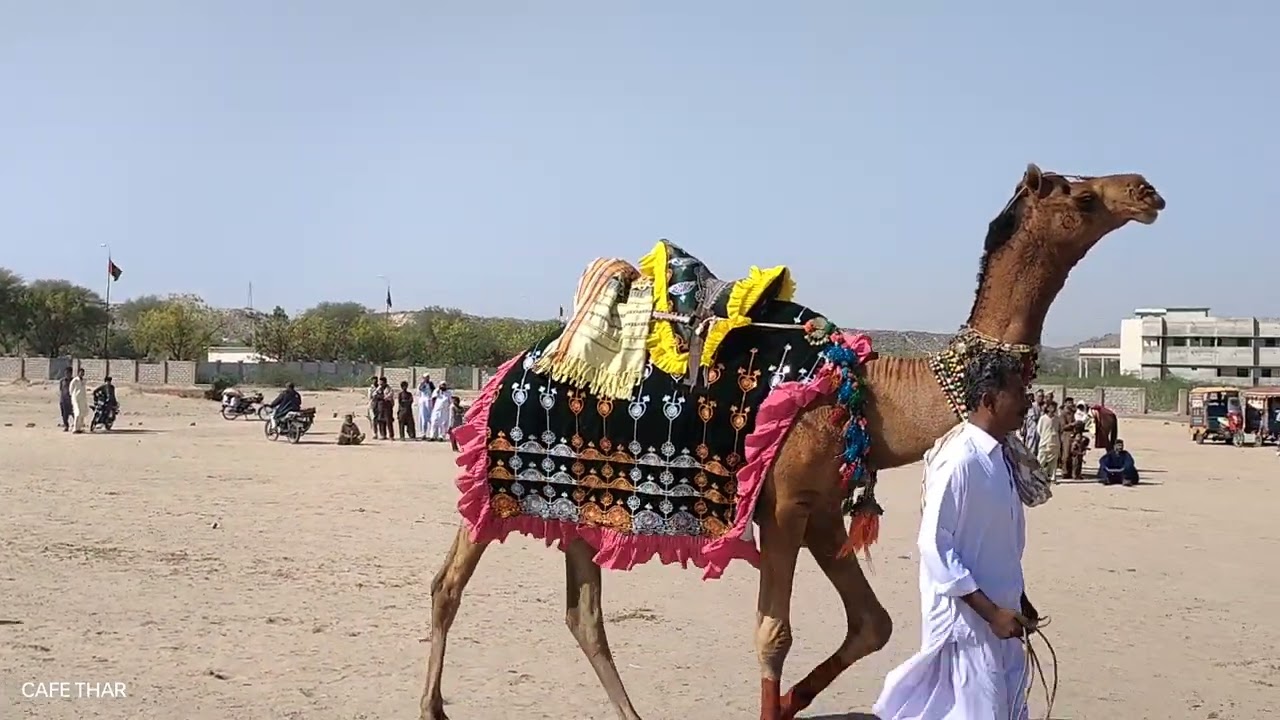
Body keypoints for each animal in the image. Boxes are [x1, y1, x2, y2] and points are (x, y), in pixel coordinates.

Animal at [419, 164, 1165, 720]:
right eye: (1082, 195)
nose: (1146, 190)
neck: (871, 392)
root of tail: (514, 363)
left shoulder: (825, 510)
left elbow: (873, 624)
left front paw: (792, 703)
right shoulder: (780, 507)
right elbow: (773, 635)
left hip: (580, 507)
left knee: (585, 614)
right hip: (490, 479)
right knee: (448, 581)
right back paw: (432, 705)